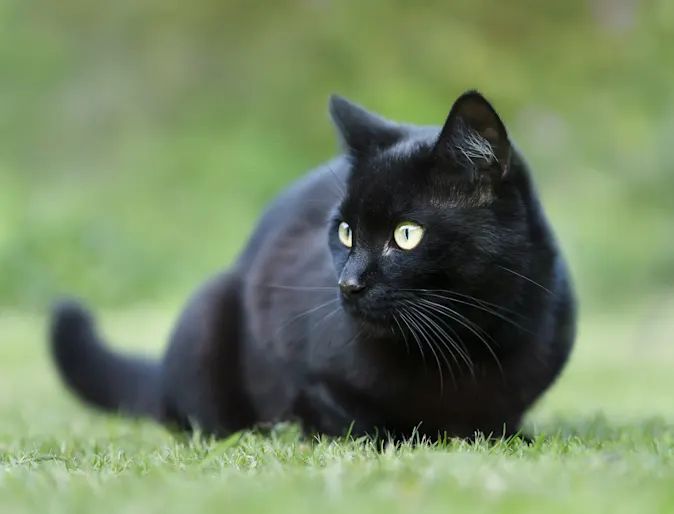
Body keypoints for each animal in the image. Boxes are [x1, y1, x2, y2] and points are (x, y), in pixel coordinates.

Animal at [48, 90, 572, 442]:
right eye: (345, 232)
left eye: (406, 235)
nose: (347, 283)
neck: (464, 346)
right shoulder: (299, 360)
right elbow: (358, 419)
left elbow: (500, 421)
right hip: (209, 306)